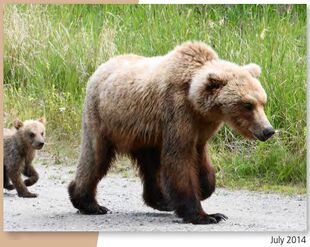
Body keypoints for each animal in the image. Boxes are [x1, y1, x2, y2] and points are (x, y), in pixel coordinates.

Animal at [69, 42, 274, 224]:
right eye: (247, 104)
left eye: (263, 102)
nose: (268, 130)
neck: (197, 103)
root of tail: (100, 68)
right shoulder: (177, 114)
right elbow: (179, 160)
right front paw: (207, 216)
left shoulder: (201, 128)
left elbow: (200, 159)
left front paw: (204, 188)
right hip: (104, 119)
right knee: (95, 157)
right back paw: (89, 203)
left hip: (145, 134)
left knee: (150, 164)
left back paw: (161, 201)